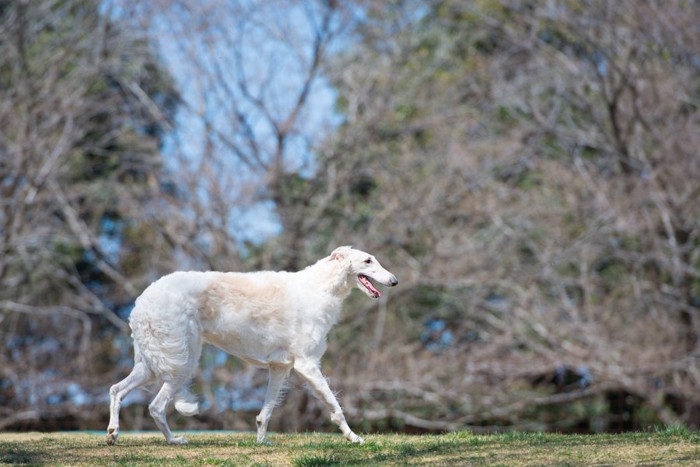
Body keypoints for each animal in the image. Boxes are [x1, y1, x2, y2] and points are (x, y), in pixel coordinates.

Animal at [106, 245, 396, 446]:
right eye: (368, 260)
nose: (394, 280)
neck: (319, 287)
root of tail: (142, 300)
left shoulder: (280, 367)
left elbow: (264, 414)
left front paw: (261, 442)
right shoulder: (307, 365)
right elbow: (336, 408)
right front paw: (354, 437)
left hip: (151, 364)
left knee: (116, 390)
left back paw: (112, 433)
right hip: (181, 362)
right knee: (155, 406)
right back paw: (174, 440)